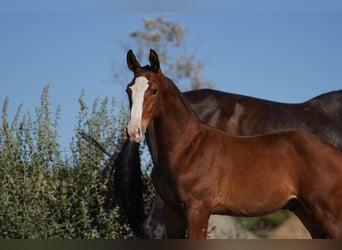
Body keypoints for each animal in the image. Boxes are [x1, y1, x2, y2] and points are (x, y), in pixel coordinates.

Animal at [121, 48, 342, 238]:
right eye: (128, 90)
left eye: (154, 90)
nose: (134, 130)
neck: (187, 148)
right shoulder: (173, 210)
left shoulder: (198, 209)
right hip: (306, 212)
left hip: (328, 214)